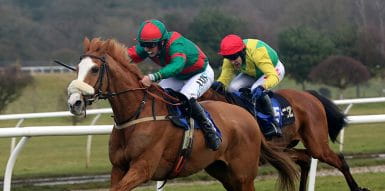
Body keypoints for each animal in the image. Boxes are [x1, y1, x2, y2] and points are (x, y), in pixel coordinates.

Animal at [66, 37, 296, 191]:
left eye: (95, 69)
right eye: (77, 67)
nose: (74, 102)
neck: (135, 115)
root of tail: (247, 115)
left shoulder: (142, 168)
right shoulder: (118, 167)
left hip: (243, 173)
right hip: (222, 170)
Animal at [200, 86, 370, 191]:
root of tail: (309, 94)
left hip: (317, 146)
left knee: (337, 160)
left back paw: (357, 187)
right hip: (285, 147)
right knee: (305, 158)